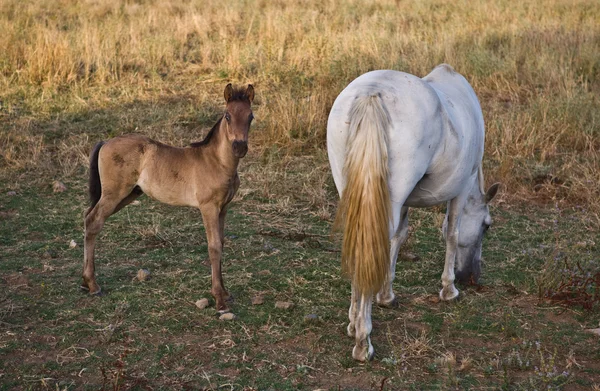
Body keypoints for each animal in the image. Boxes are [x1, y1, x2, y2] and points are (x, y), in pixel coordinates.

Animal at [81, 84, 253, 314]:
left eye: (251, 116)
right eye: (227, 115)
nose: (239, 147)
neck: (217, 162)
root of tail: (106, 141)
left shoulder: (224, 208)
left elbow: (222, 243)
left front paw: (225, 293)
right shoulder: (208, 207)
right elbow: (214, 246)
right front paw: (219, 300)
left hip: (127, 195)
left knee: (88, 217)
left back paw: (85, 282)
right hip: (114, 194)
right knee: (93, 222)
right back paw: (92, 284)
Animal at [326, 64, 500, 362]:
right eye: (486, 225)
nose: (471, 277)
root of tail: (371, 94)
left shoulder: (403, 201)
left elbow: (398, 237)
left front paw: (386, 295)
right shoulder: (462, 189)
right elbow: (452, 234)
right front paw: (449, 289)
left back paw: (353, 323)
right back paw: (363, 341)